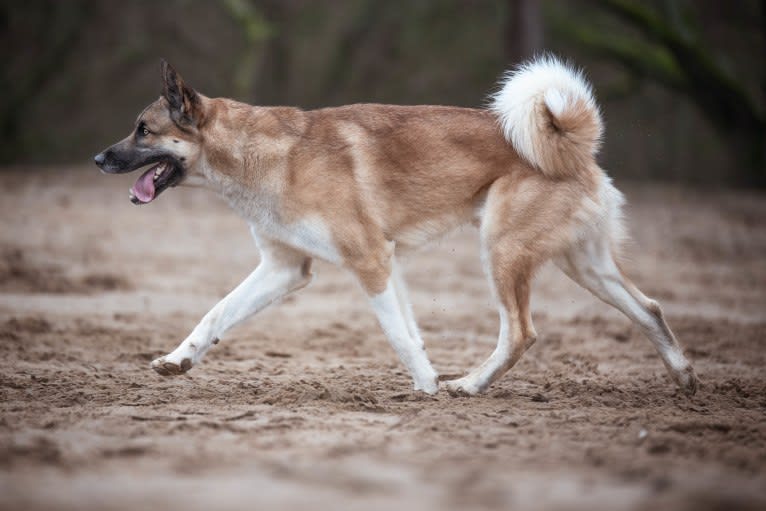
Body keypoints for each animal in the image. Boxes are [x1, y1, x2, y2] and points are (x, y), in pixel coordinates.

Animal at [94, 58, 704, 398]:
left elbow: (398, 335)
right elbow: (217, 313)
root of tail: (572, 142)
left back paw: (469, 385)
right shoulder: (286, 269)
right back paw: (685, 378)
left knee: (520, 333)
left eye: (143, 129)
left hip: (502, 252)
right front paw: (178, 360)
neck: (267, 154)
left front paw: (428, 387)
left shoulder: (370, 260)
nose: (99, 158)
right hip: (583, 265)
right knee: (650, 309)